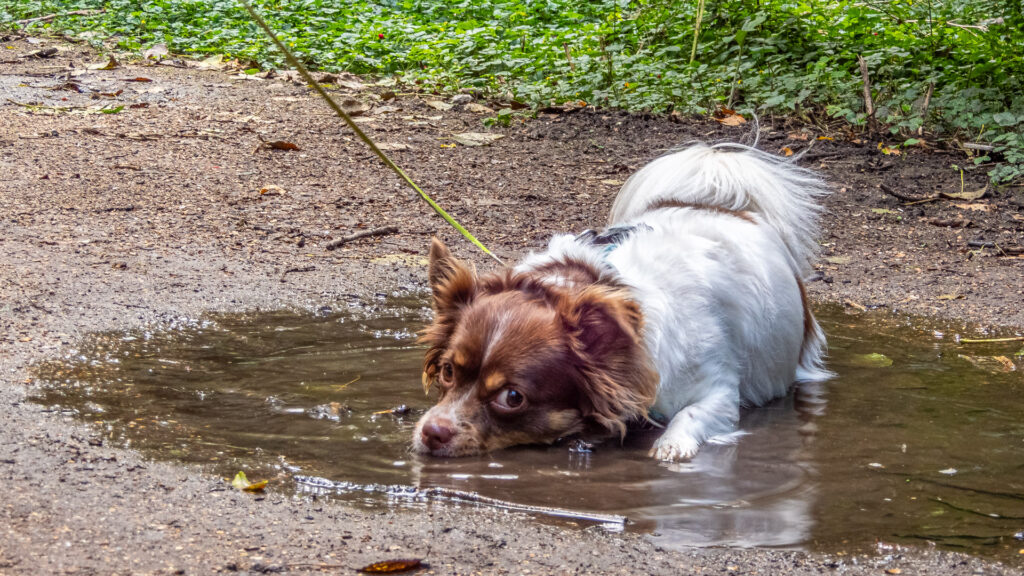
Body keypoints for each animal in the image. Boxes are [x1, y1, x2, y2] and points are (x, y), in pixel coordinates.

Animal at [411, 144, 827, 461]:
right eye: (447, 371)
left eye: (512, 397)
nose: (432, 431)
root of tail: (723, 205)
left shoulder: (719, 391)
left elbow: (691, 416)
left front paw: (671, 446)